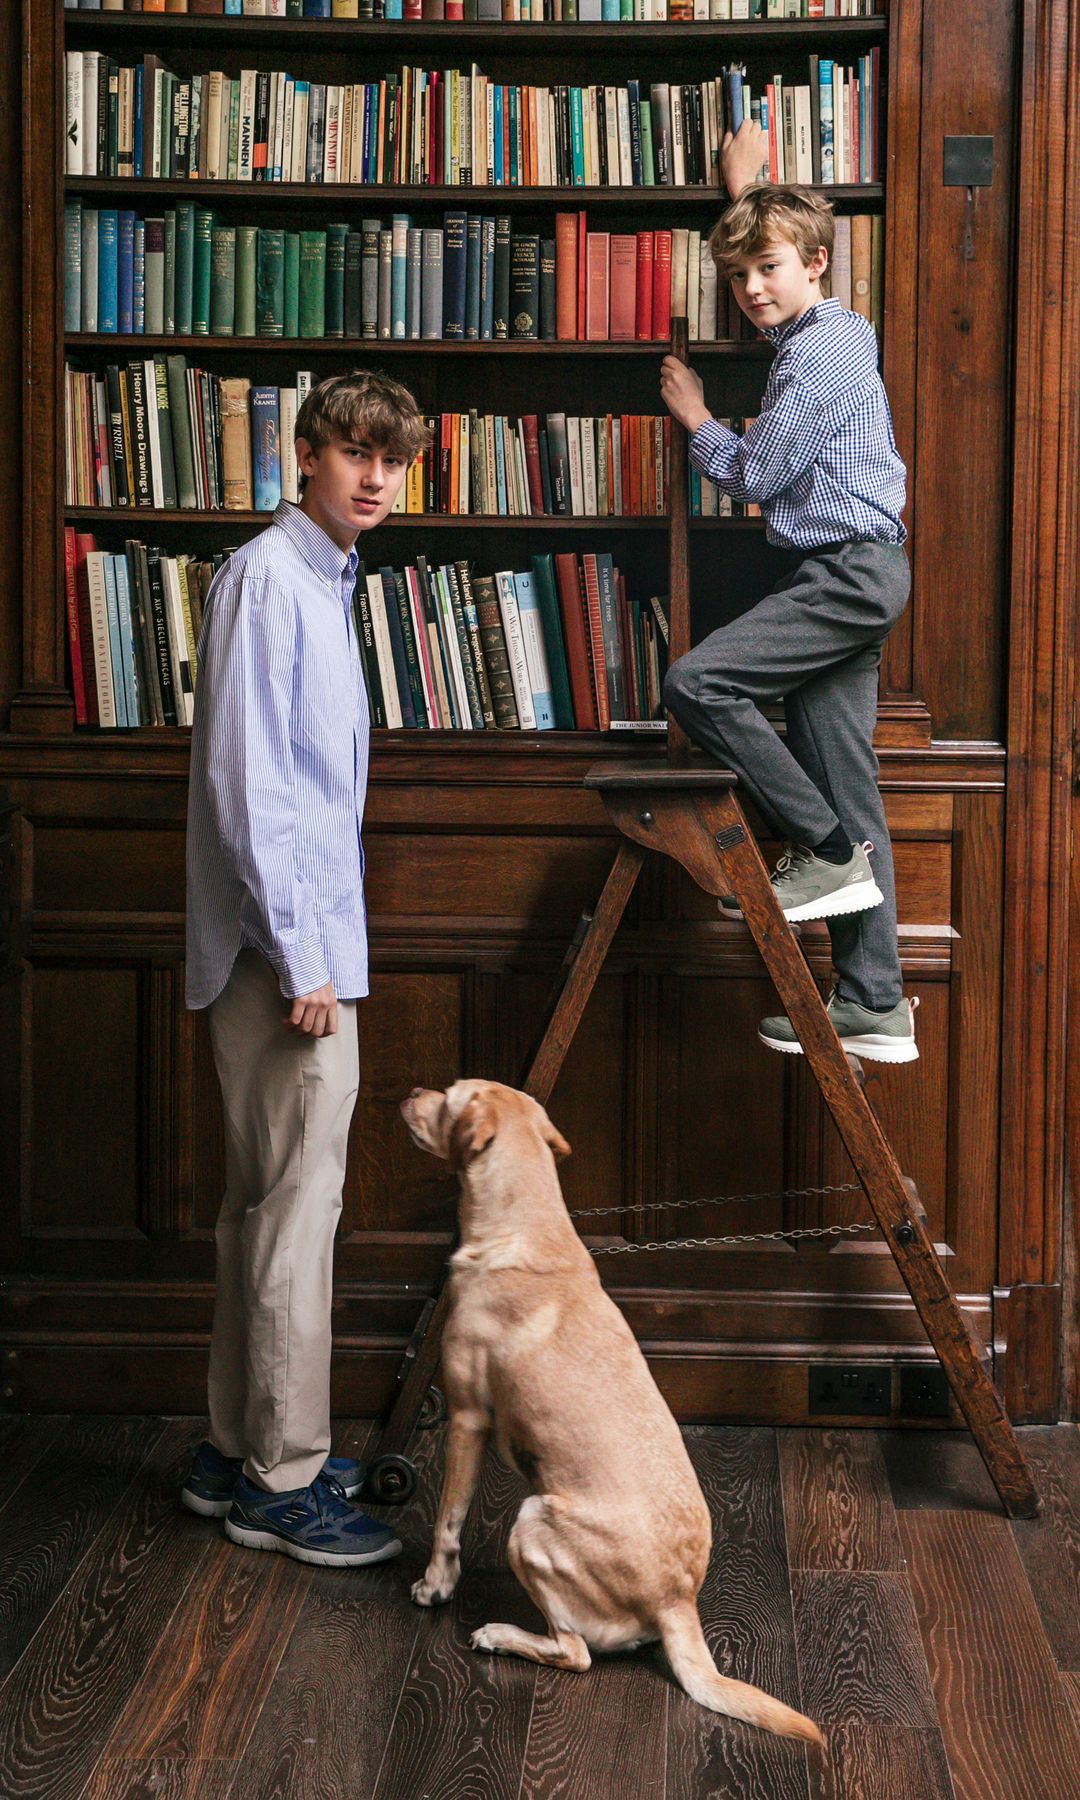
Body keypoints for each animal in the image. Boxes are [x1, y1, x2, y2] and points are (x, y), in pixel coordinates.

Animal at [401, 1072, 824, 1749]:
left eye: (450, 1094)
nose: (414, 1090)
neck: (527, 1220)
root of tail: (677, 1604)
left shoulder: (466, 1417)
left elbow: (448, 1521)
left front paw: (435, 1586)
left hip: (530, 1522)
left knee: (575, 1652)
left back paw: (499, 1634)